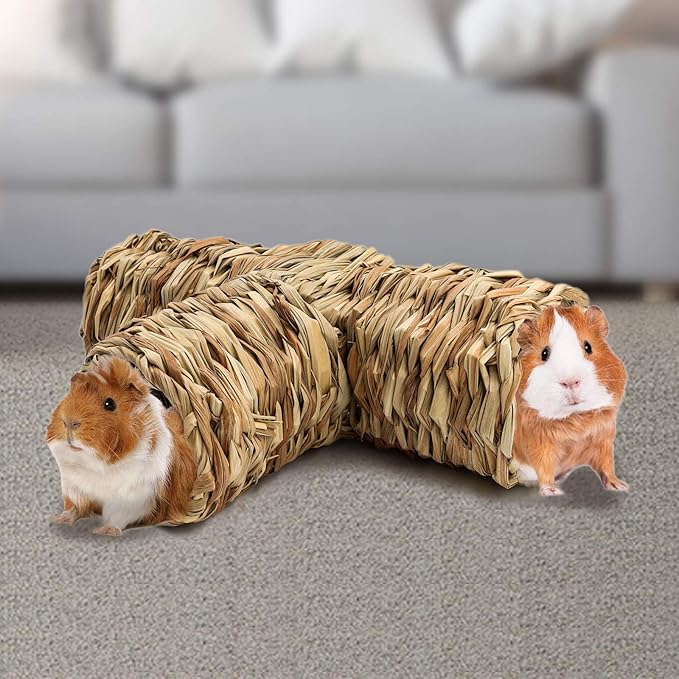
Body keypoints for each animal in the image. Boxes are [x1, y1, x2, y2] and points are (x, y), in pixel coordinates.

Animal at [45, 357, 196, 535]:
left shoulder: (132, 500)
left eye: (109, 404)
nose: (69, 422)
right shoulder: (76, 490)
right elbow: (74, 509)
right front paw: (59, 519)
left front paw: (104, 531)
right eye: (70, 397)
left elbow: (116, 518)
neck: (98, 466)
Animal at [513, 305, 628, 496]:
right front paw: (551, 491)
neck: (575, 419)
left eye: (588, 347)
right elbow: (544, 469)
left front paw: (619, 486)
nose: (571, 381)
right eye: (544, 353)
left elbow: (607, 466)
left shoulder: (604, 441)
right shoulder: (539, 444)